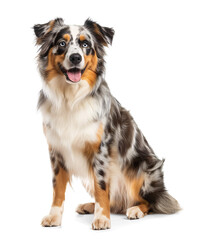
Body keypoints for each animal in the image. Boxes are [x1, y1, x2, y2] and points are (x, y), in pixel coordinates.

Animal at [33, 18, 180, 229]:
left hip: (144, 169)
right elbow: (57, 188)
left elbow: (101, 187)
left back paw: (135, 209)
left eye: (86, 45)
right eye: (61, 43)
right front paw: (54, 217)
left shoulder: (100, 150)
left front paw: (102, 218)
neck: (71, 98)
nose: (76, 57)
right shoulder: (57, 151)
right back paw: (90, 206)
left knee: (149, 202)